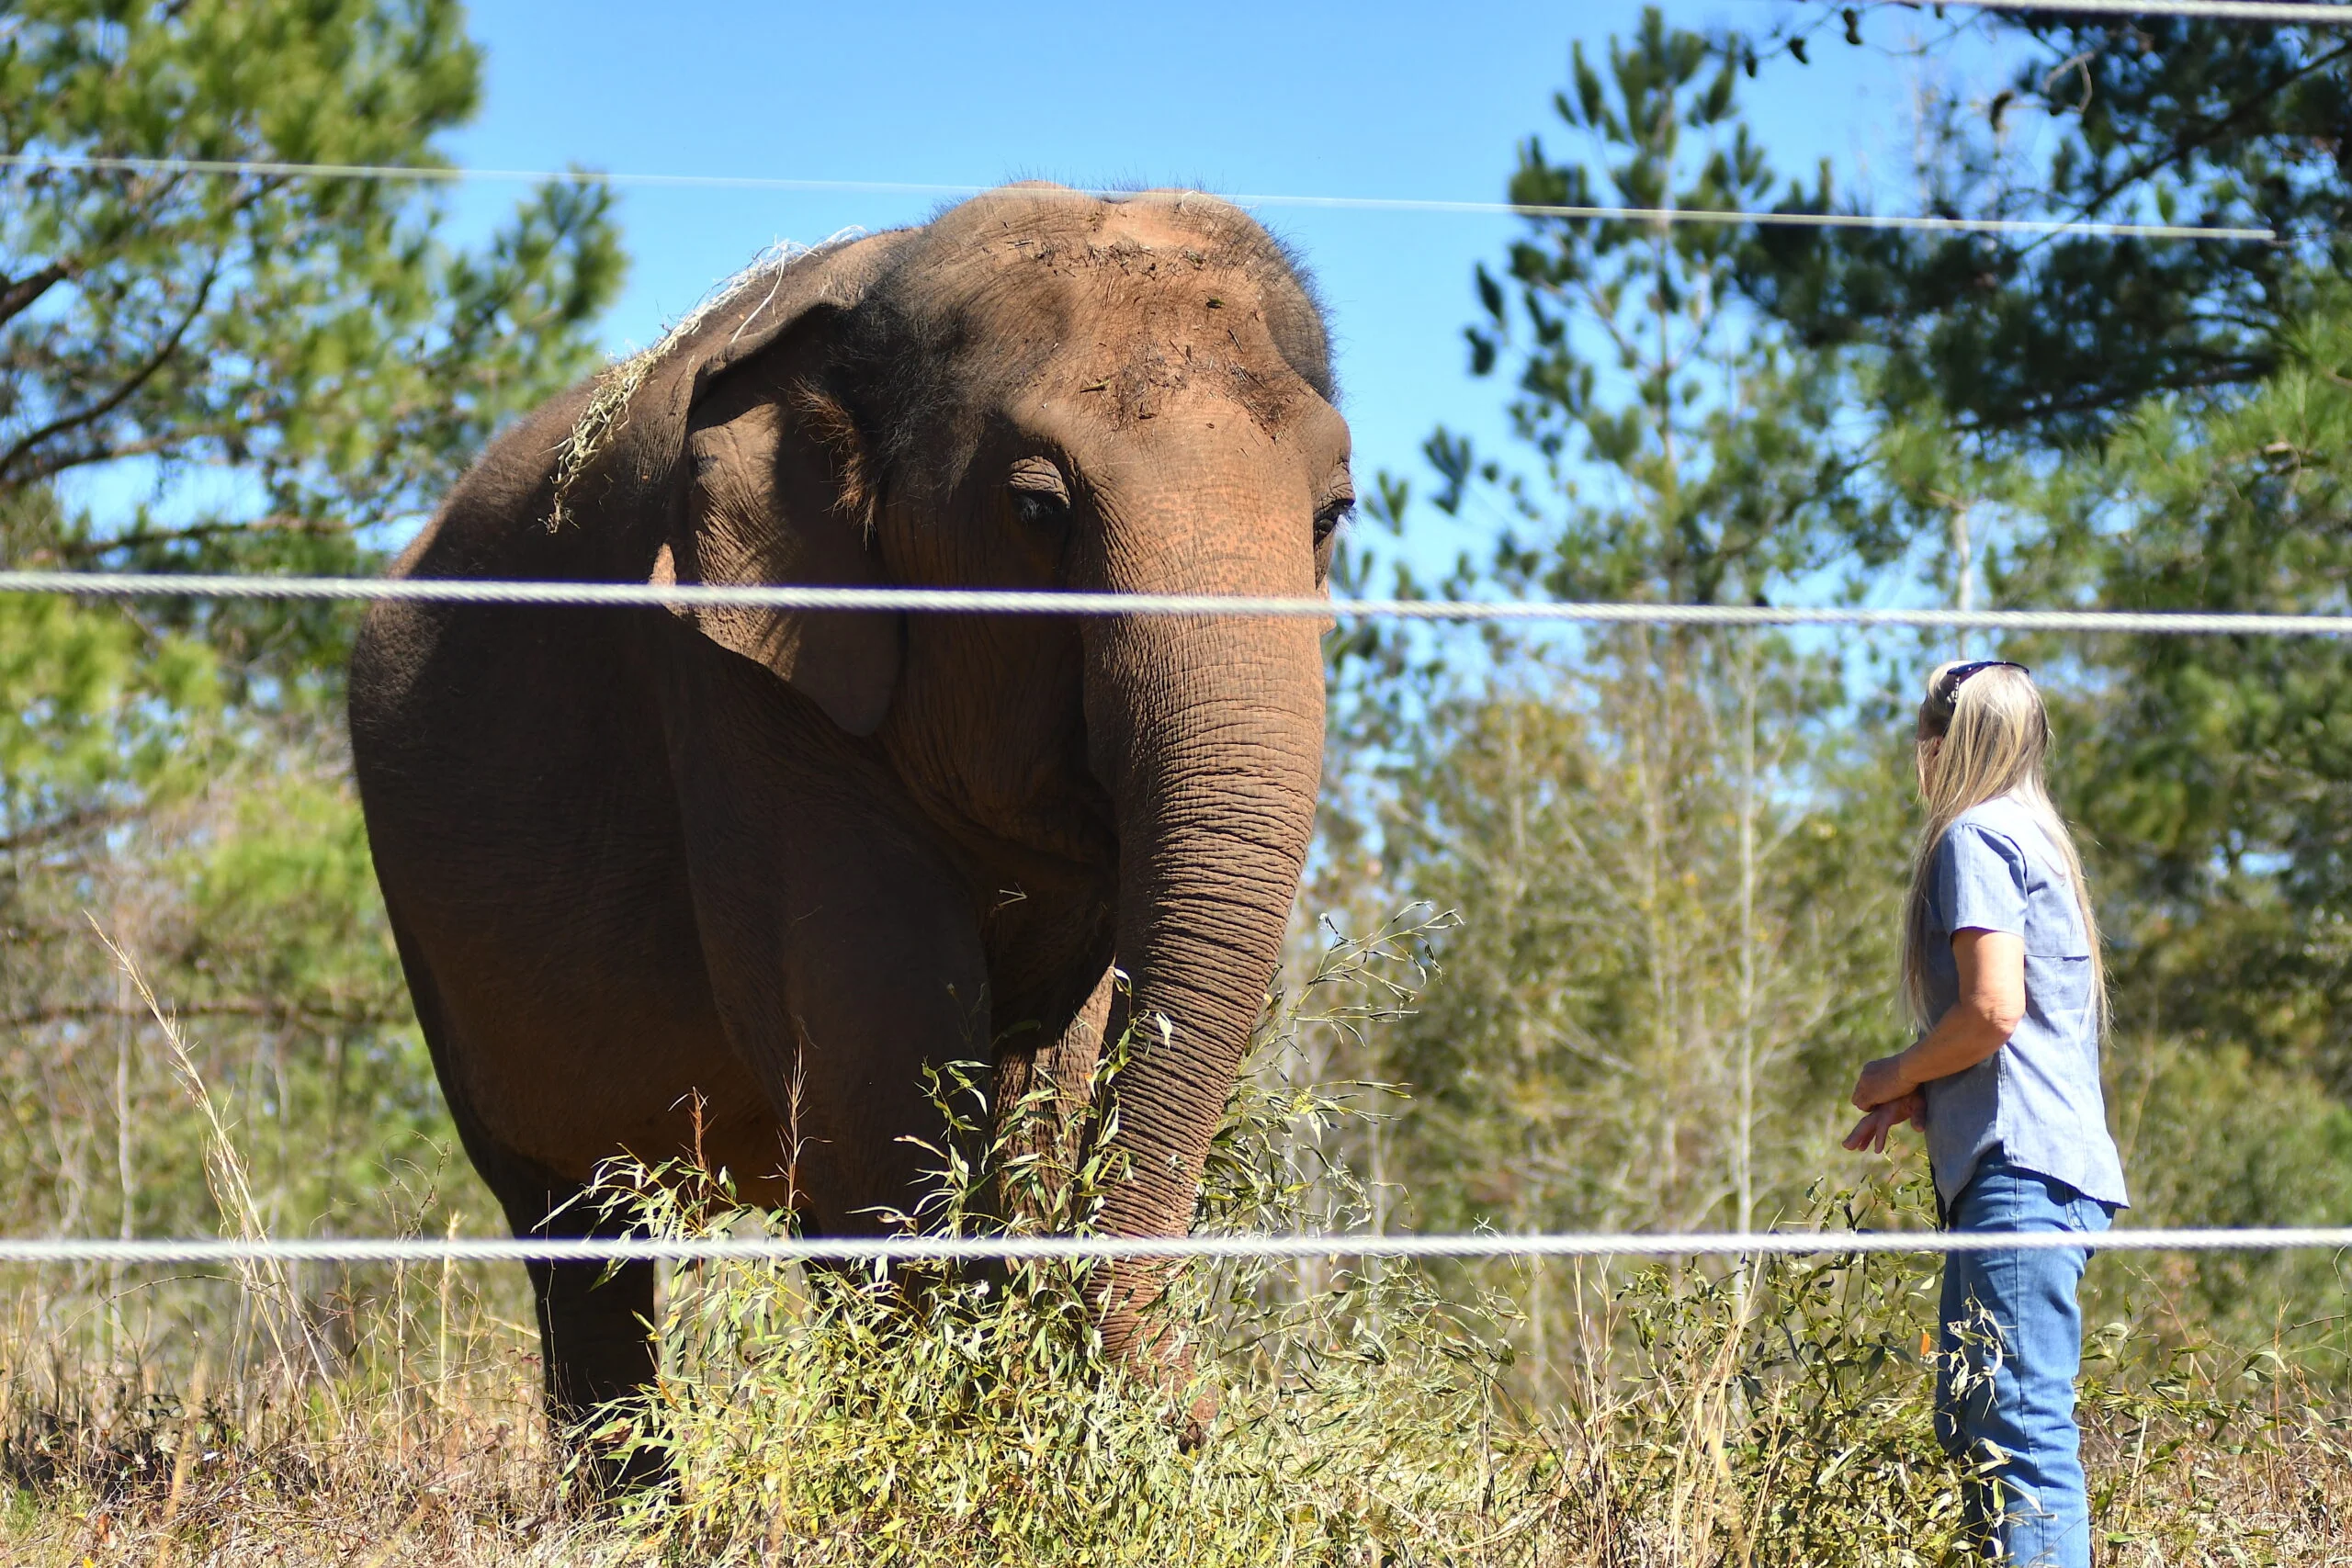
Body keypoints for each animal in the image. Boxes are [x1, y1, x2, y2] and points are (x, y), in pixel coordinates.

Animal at [341, 181, 1354, 1476]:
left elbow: (1044, 1085)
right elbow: (884, 1082)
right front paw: (950, 1463)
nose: (1205, 1416)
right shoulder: (739, 690)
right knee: (582, 1227)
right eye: (1036, 509)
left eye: (1333, 515)